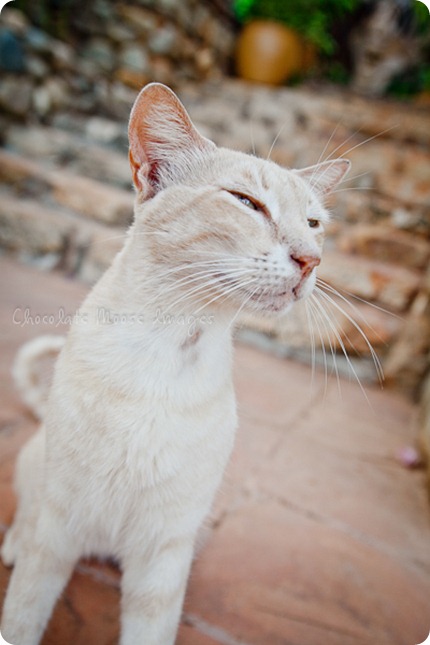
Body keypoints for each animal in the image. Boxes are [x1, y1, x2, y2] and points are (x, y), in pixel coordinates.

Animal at [0, 82, 350, 644]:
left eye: (314, 224)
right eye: (247, 204)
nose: (310, 260)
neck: (167, 347)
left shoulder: (164, 552)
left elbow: (150, 626)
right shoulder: (59, 525)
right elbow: (23, 613)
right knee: (26, 517)